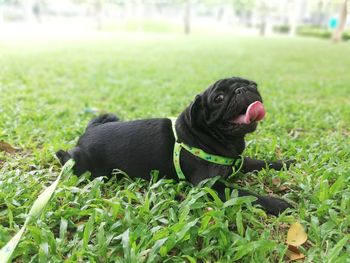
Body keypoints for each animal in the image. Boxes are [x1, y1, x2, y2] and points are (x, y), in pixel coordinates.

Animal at [56, 77, 292, 217]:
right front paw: (278, 204)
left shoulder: (237, 162)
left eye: (252, 84)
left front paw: (284, 163)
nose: (243, 90)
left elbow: (259, 162)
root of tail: (87, 132)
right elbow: (247, 194)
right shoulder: (210, 185)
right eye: (219, 98)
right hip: (85, 166)